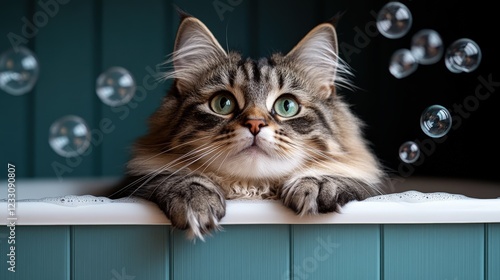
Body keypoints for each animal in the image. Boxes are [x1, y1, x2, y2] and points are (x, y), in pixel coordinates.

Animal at [111, 12, 388, 241]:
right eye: (223, 103)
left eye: (287, 106)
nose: (255, 123)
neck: (251, 191)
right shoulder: (132, 185)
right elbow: (174, 177)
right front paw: (195, 200)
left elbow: (342, 178)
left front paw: (318, 185)